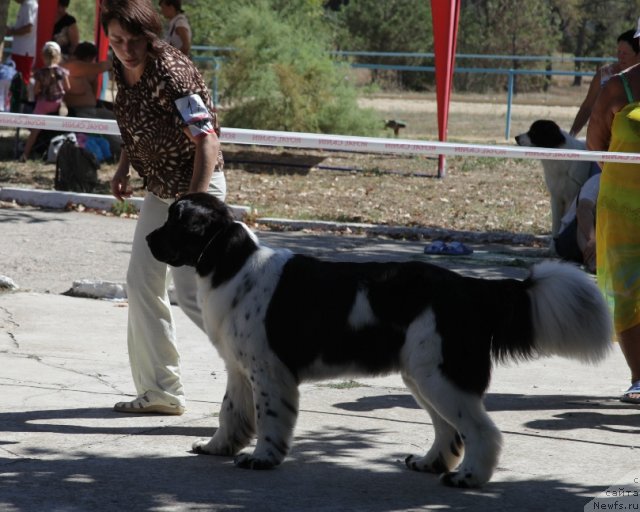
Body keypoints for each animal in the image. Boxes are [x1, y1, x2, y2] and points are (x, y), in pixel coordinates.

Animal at [148, 193, 612, 488]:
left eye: (176, 220)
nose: (149, 238)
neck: (232, 264)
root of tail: (471, 288)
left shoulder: (268, 371)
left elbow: (269, 420)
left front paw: (262, 459)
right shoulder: (239, 368)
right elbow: (231, 413)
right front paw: (216, 447)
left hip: (441, 375)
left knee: (482, 432)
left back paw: (468, 478)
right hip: (422, 376)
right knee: (449, 430)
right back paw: (429, 463)